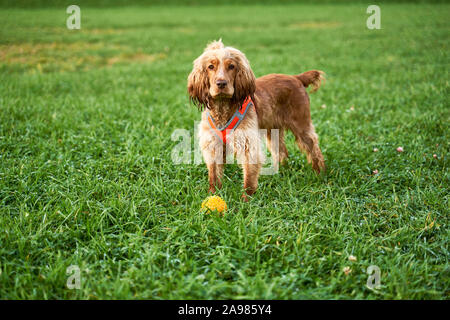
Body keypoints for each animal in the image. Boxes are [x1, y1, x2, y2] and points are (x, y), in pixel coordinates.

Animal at [188, 39, 326, 200]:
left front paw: (246, 199)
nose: (221, 83)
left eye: (231, 66)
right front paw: (212, 195)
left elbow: (249, 176)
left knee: (314, 148)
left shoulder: (248, 144)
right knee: (282, 151)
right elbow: (214, 175)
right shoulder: (212, 144)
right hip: (274, 131)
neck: (222, 109)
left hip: (301, 125)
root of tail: (296, 78)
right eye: (211, 66)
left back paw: (320, 173)